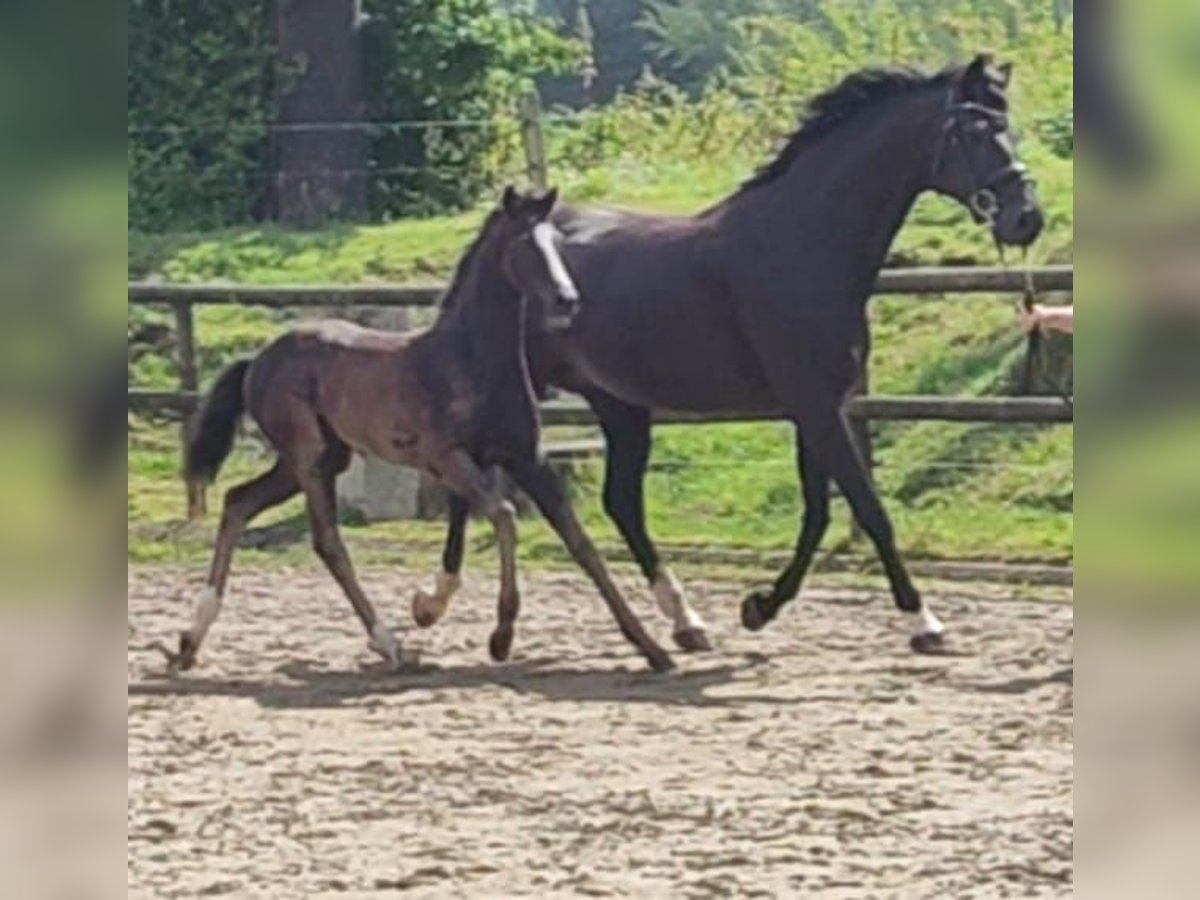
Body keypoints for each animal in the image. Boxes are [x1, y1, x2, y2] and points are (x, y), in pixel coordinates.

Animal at [170, 187, 676, 672]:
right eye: (522, 242)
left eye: (555, 241)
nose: (567, 299)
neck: (469, 360)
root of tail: (257, 359)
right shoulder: (446, 460)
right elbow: (505, 517)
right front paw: (501, 636)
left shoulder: (528, 459)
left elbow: (582, 545)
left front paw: (654, 648)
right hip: (309, 458)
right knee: (327, 540)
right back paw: (390, 646)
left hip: (319, 458)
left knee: (238, 502)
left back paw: (190, 641)